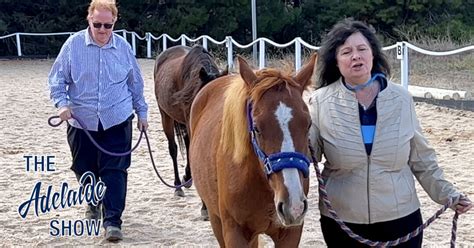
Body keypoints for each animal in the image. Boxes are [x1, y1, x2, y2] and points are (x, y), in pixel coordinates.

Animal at [190, 54, 318, 246]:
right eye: (257, 128)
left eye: (308, 124)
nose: (293, 205)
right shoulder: (234, 233)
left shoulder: (291, 233)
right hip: (216, 220)